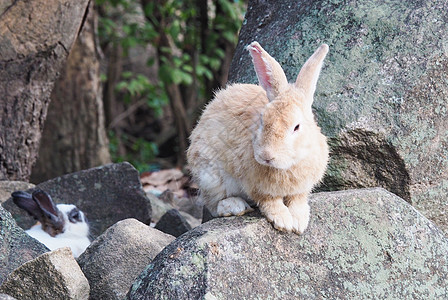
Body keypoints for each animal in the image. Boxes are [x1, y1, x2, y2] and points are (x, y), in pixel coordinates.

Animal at [186, 41, 328, 233]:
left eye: (296, 127)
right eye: (262, 120)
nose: (266, 156)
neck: (288, 164)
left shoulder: (301, 188)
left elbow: (297, 200)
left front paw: (299, 223)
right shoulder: (257, 187)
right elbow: (269, 201)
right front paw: (283, 221)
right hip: (209, 176)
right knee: (214, 205)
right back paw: (235, 206)